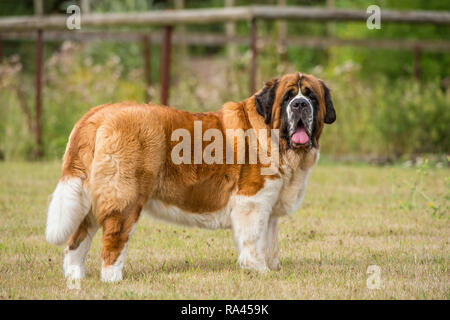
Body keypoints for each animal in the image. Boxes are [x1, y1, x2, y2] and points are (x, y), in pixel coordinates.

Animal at [45, 71, 336, 282]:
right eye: (288, 98)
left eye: (312, 97)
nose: (300, 104)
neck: (276, 139)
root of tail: (100, 112)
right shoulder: (252, 202)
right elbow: (254, 240)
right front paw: (259, 271)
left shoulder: (270, 207)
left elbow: (270, 241)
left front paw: (272, 269)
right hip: (125, 199)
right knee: (113, 240)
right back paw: (112, 279)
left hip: (91, 198)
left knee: (78, 239)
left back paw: (75, 277)